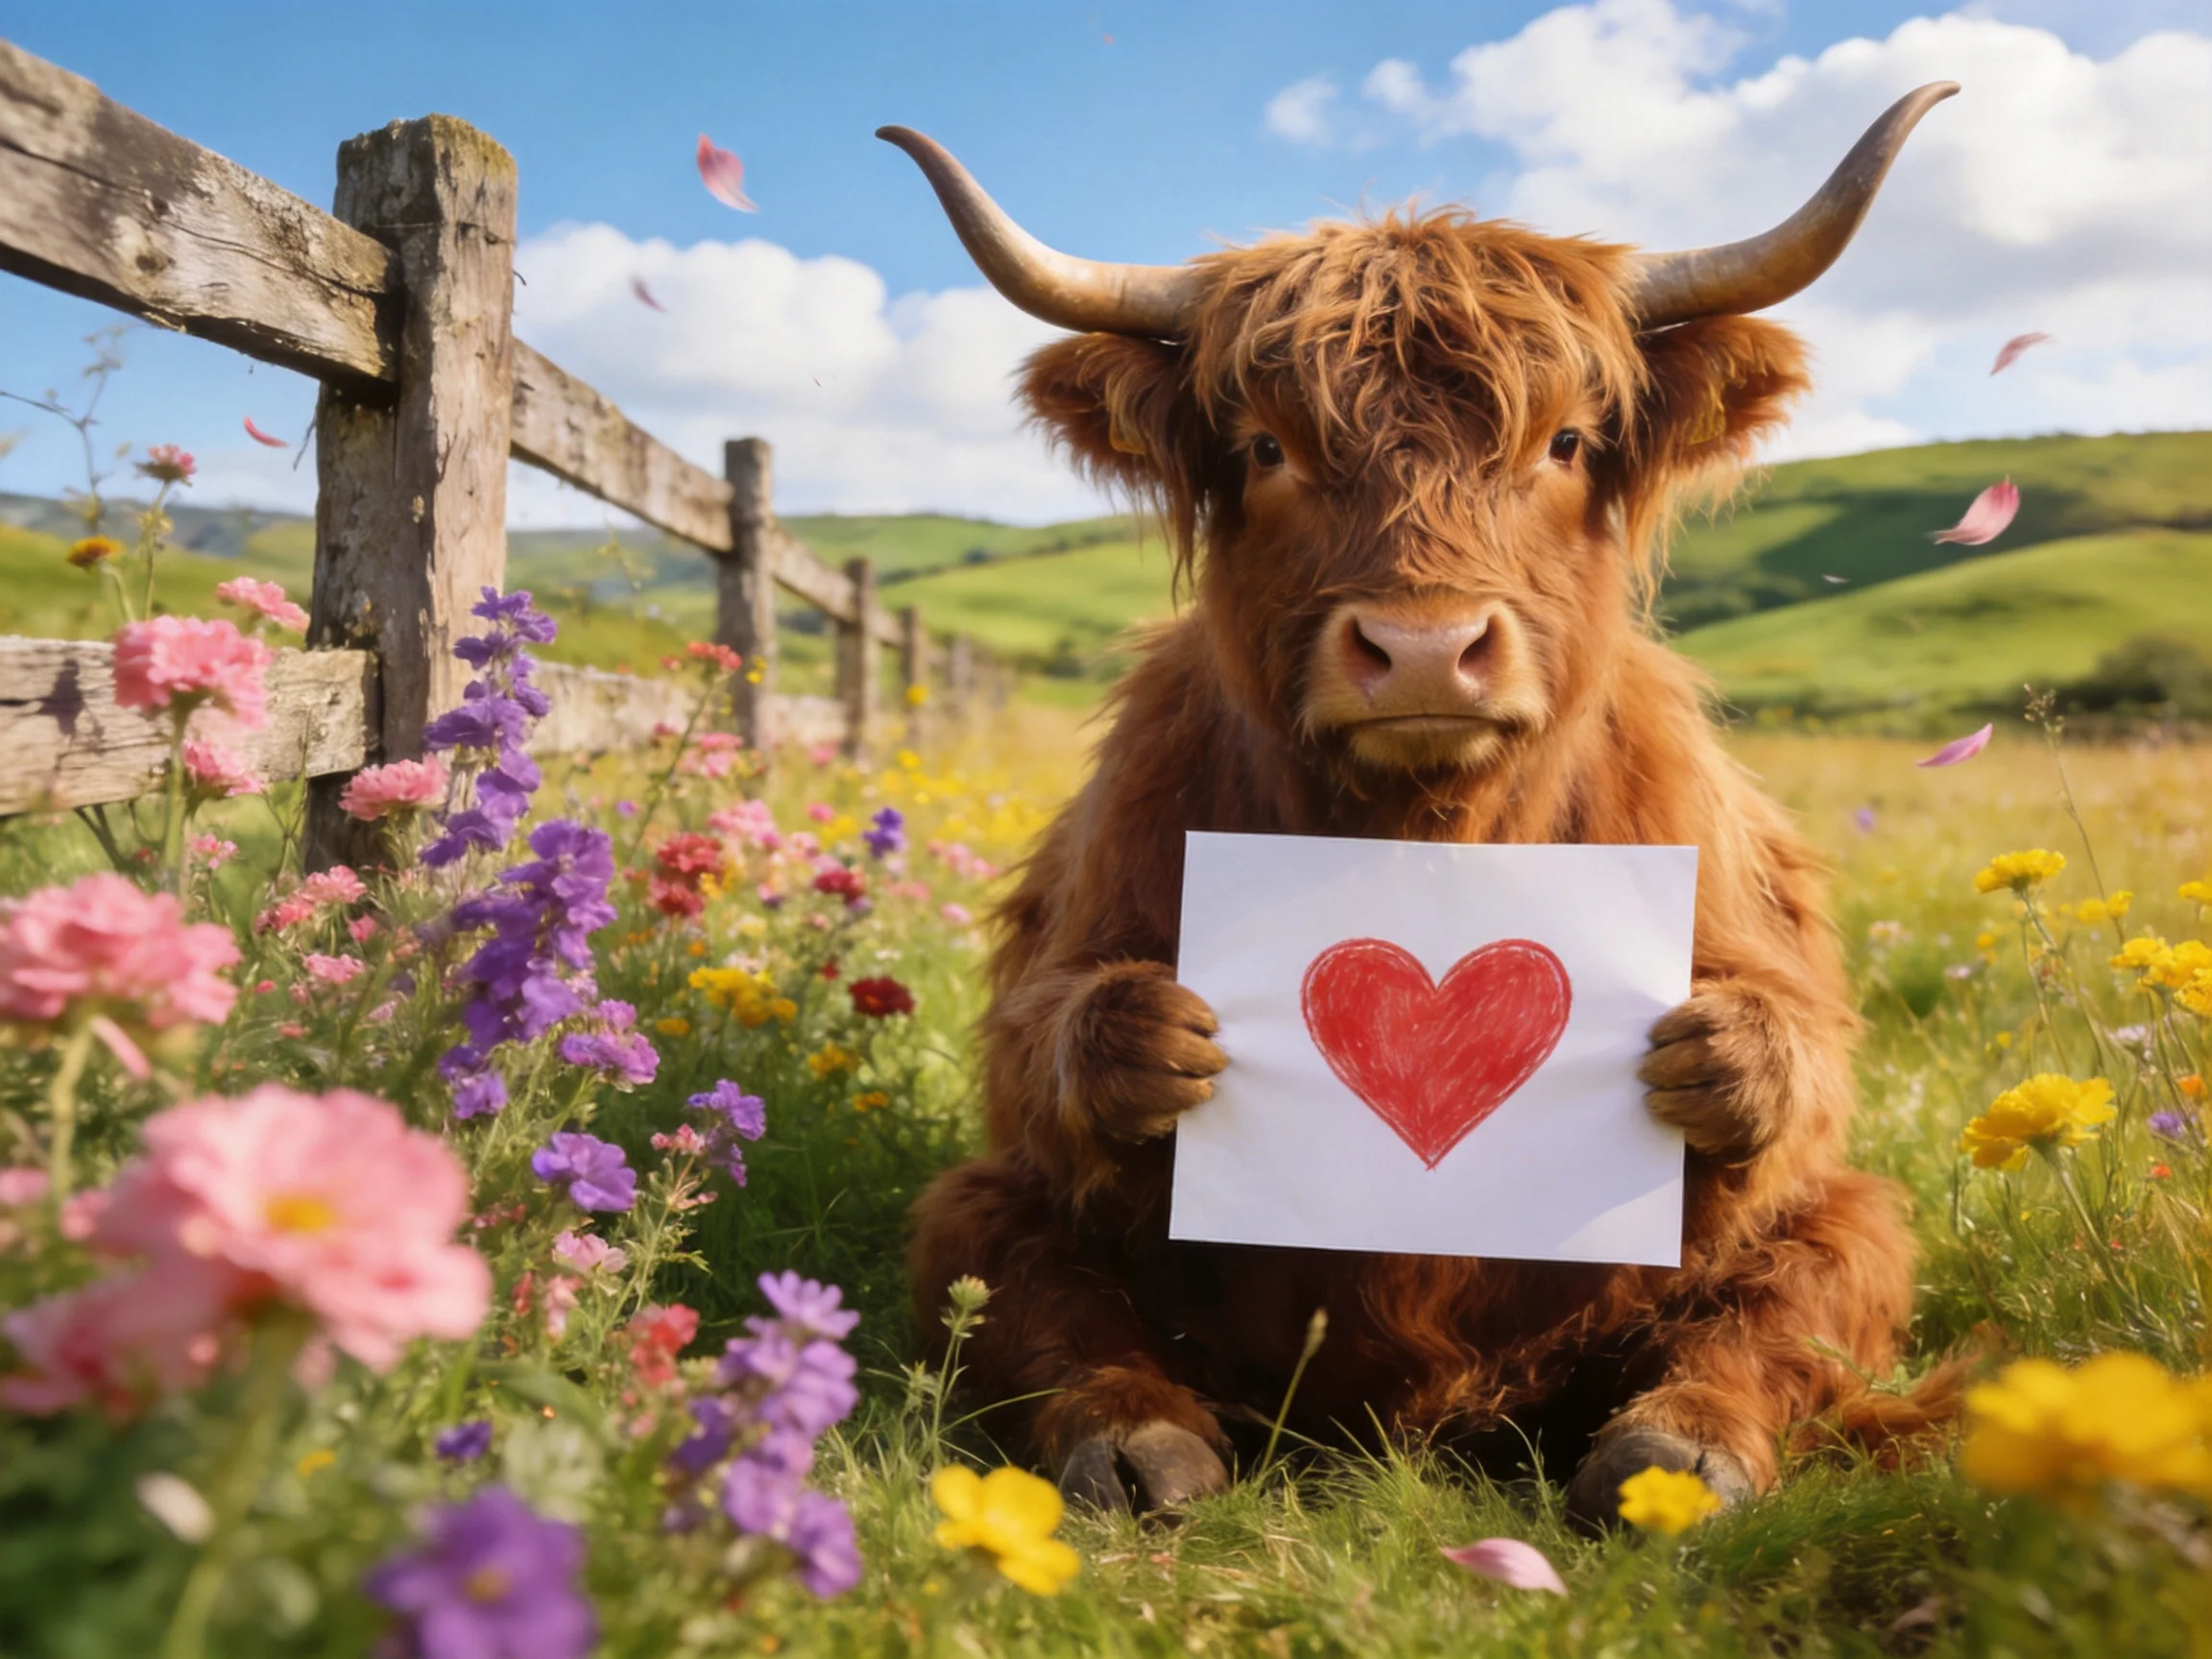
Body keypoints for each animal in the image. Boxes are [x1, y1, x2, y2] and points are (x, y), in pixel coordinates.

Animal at [886, 83, 1956, 1525]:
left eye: (1565, 440)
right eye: (1267, 447)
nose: (1426, 649)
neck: (1425, 827)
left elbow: (1800, 1058)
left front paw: (1722, 1053)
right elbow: (1041, 1041)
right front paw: (1150, 1036)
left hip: (1823, 1236)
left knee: (1809, 1283)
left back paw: (1676, 1456)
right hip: (994, 1221)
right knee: (1015, 1270)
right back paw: (1137, 1446)